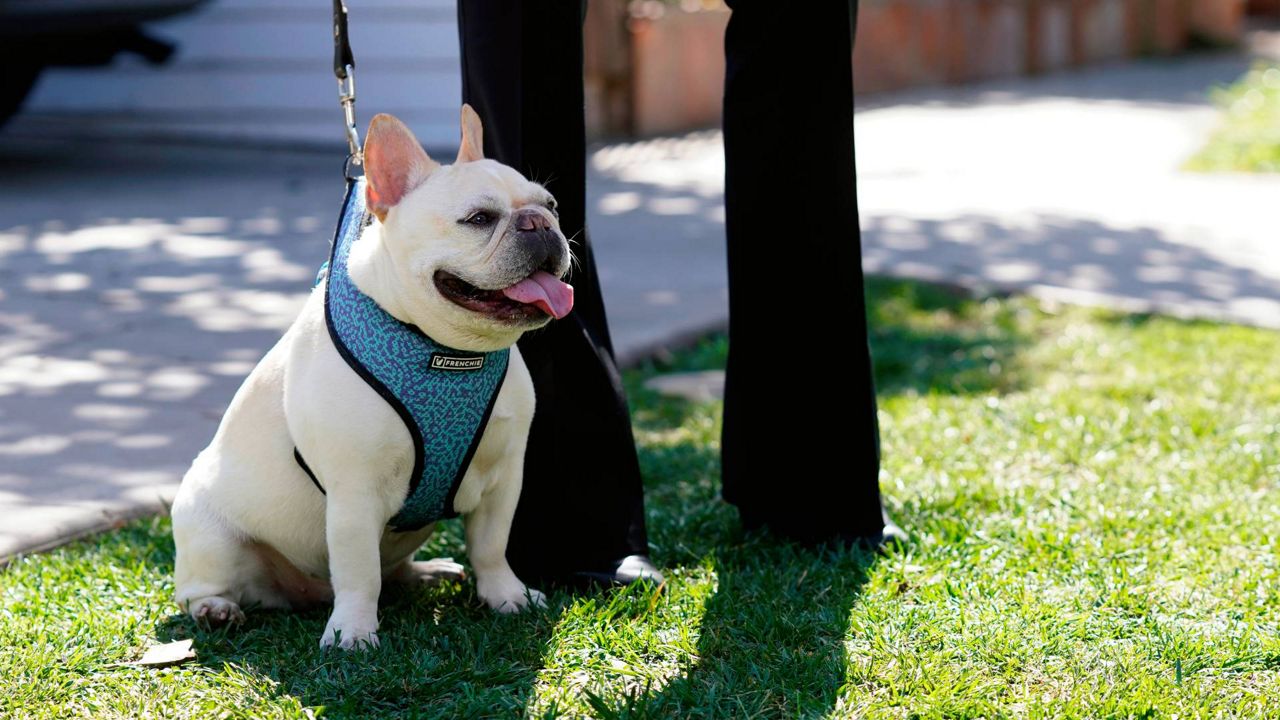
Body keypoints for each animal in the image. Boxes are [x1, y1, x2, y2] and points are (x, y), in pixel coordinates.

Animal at [172, 107, 573, 650]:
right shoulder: (354, 493)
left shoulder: (504, 475)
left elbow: (491, 544)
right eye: (480, 219)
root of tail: (300, 593)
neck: (447, 351)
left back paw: (424, 572)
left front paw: (506, 595)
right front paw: (352, 633)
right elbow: (358, 571)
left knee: (393, 570)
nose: (540, 223)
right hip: (207, 530)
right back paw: (215, 609)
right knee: (204, 585)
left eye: (551, 204)